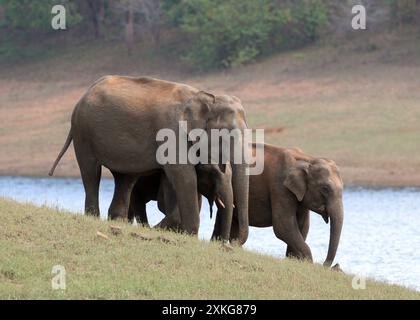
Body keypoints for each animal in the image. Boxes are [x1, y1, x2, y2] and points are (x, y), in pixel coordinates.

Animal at [48, 75, 249, 242]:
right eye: (226, 134)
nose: (229, 243)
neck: (205, 96)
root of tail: (83, 96)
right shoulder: (172, 133)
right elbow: (184, 177)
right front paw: (186, 235)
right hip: (83, 132)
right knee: (91, 172)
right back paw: (95, 217)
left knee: (125, 179)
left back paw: (118, 221)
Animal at [213, 144, 344, 266]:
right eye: (325, 189)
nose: (324, 265)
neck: (308, 159)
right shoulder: (280, 187)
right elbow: (283, 225)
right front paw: (308, 263)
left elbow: (303, 226)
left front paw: (293, 260)